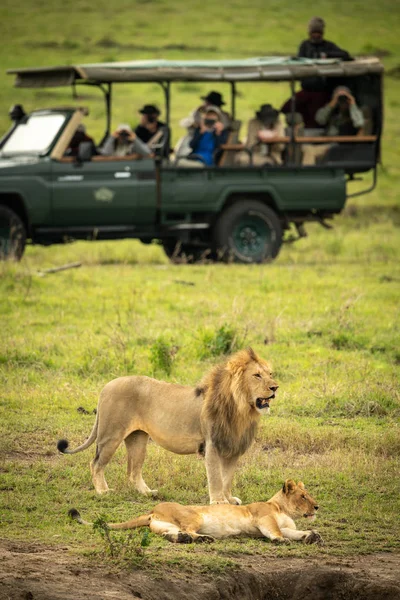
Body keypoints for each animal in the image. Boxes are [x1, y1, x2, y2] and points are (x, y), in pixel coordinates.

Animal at [57, 346, 278, 506]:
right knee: (96, 463)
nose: (275, 387)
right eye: (257, 375)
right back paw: (103, 491)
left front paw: (229, 499)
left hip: (138, 439)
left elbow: (227, 477)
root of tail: (106, 386)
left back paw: (147, 493)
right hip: (110, 435)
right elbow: (216, 477)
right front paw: (218, 501)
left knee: (133, 472)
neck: (242, 409)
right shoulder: (212, 445)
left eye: (270, 373)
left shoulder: (233, 447)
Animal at [69, 480, 322, 548]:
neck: (282, 508)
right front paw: (280, 540)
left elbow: (295, 532)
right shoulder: (263, 518)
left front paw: (312, 536)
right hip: (195, 516)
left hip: (164, 526)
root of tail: (152, 510)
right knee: (188, 530)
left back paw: (184, 539)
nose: (317, 507)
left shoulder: (287, 525)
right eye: (303, 496)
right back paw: (204, 539)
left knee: (173, 535)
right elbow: (276, 532)